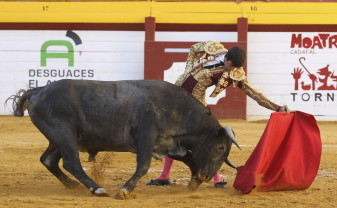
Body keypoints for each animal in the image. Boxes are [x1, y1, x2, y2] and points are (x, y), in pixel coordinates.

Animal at [11, 79, 239, 199]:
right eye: (220, 147)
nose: (207, 176)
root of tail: (39, 90)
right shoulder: (146, 137)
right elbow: (143, 165)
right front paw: (125, 190)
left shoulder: (168, 143)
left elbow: (190, 159)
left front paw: (193, 183)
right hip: (64, 134)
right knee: (71, 163)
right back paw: (96, 188)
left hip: (59, 139)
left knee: (48, 160)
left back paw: (73, 185)